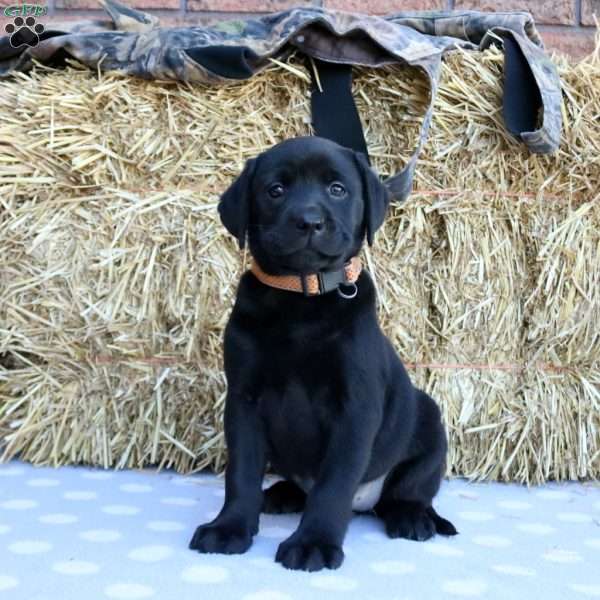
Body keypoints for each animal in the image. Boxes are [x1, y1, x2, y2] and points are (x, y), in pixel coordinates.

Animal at [190, 136, 458, 572]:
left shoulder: (355, 407)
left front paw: (313, 542)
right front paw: (229, 527)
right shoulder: (244, 400)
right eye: (275, 190)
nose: (310, 221)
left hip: (429, 423)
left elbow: (333, 484)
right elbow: (241, 474)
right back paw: (280, 494)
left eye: (337, 188)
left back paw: (412, 517)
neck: (301, 298)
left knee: (407, 491)